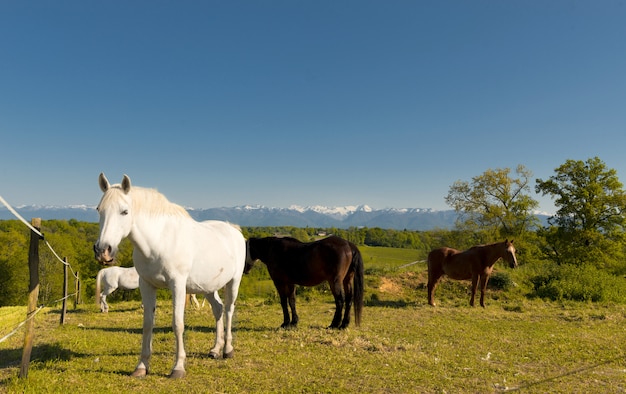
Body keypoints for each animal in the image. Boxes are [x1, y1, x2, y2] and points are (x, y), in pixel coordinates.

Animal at [94, 174, 245, 380]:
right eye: (99, 210)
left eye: (124, 211)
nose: (103, 251)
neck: (159, 241)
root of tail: (233, 229)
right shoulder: (146, 285)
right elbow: (148, 324)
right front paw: (141, 367)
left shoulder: (177, 285)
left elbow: (178, 324)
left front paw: (178, 368)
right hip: (208, 287)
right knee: (218, 309)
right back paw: (215, 349)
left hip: (233, 282)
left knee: (229, 309)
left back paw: (228, 349)